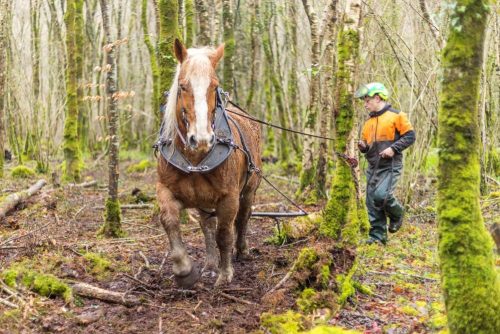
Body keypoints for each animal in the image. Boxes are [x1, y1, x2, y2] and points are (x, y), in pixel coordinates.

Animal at [157, 38, 262, 288]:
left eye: (214, 86)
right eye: (182, 86)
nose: (202, 139)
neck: (196, 160)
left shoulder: (229, 197)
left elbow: (224, 234)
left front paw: (225, 274)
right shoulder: (165, 189)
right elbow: (171, 221)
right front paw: (185, 271)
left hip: (250, 189)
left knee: (243, 218)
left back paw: (241, 250)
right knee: (206, 225)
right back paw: (211, 263)